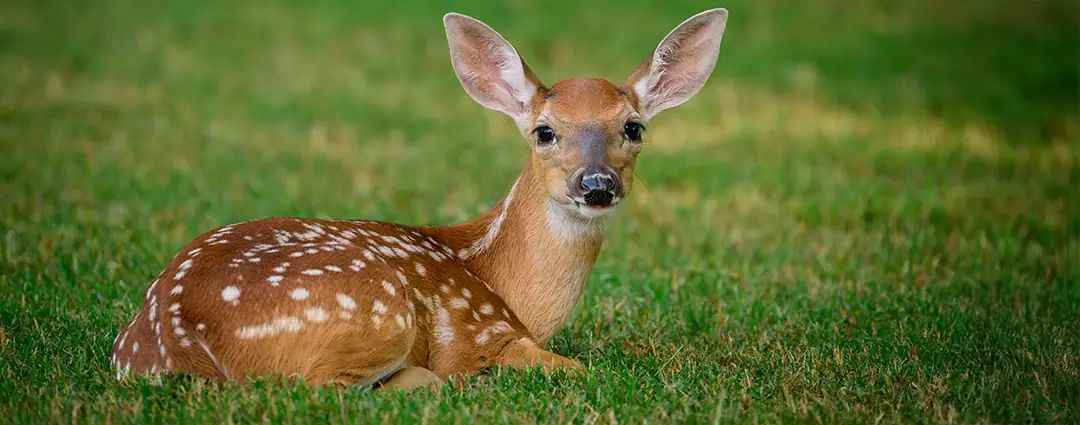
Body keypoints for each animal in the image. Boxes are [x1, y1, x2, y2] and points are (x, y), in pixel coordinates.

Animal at [109, 8, 728, 391]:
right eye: (544, 131)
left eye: (633, 127)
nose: (596, 185)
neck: (502, 283)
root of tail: (175, 340)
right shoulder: (484, 334)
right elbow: (575, 370)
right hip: (375, 311)